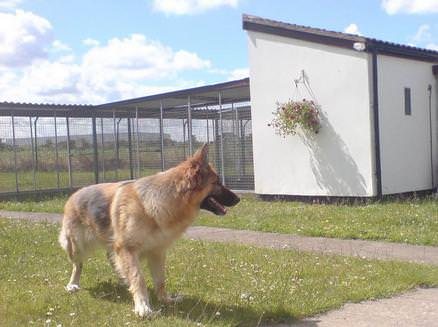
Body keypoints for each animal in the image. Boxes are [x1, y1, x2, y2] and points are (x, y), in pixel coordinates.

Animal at [58, 145, 240, 318]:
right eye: (217, 182)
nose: (238, 199)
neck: (154, 205)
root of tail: (74, 194)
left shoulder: (157, 252)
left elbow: (160, 280)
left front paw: (165, 299)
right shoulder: (128, 249)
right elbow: (138, 278)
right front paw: (143, 307)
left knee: (111, 259)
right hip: (77, 247)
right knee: (78, 265)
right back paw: (73, 284)